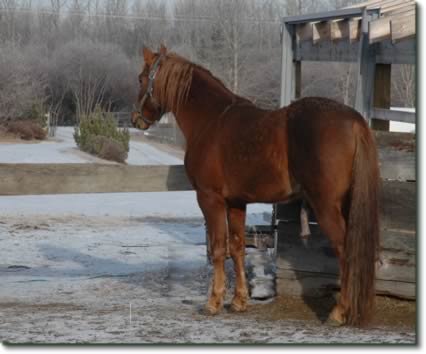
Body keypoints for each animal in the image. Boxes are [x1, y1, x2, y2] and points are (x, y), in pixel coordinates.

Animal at [131, 45, 380, 328]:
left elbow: (219, 249)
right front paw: (239, 301)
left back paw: (339, 312)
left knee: (345, 251)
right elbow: (237, 248)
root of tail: (354, 122)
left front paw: (213, 302)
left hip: (326, 206)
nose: (136, 119)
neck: (211, 121)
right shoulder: (237, 203)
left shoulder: (210, 199)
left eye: (141, 79)